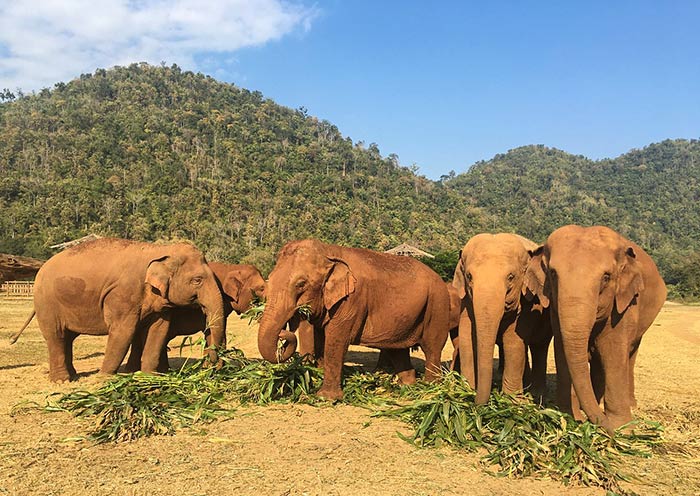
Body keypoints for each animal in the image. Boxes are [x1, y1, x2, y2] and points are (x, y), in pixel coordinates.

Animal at [21, 238, 224, 382]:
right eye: (197, 280)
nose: (211, 365)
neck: (160, 250)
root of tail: (42, 267)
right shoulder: (123, 295)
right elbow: (123, 332)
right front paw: (103, 379)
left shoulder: (160, 301)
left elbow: (158, 331)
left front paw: (150, 377)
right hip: (46, 303)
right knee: (56, 336)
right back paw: (61, 381)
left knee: (68, 338)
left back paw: (73, 376)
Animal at [258, 239, 448, 400]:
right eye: (270, 280)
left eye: (301, 284)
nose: (283, 333)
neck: (329, 251)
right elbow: (320, 339)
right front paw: (316, 379)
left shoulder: (351, 300)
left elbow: (336, 340)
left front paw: (325, 398)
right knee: (397, 348)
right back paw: (406, 387)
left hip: (437, 305)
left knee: (432, 347)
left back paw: (430, 389)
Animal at [452, 234, 556, 404]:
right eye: (469, 276)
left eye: (511, 277)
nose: (476, 402)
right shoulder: (466, 299)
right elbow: (466, 335)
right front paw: (465, 390)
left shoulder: (527, 301)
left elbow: (513, 342)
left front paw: (512, 401)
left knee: (539, 346)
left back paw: (536, 394)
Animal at [524, 227, 668, 432]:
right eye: (552, 273)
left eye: (606, 277)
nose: (599, 425)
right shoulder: (555, 309)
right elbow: (562, 350)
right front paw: (570, 417)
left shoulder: (624, 306)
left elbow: (613, 353)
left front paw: (623, 429)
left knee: (630, 354)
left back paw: (630, 405)